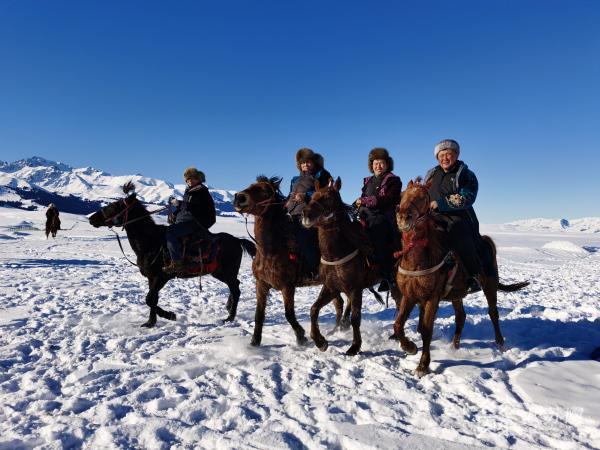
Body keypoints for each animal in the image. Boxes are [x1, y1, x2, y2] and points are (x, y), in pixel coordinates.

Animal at [89, 182, 255, 326]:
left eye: (114, 206)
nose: (91, 219)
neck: (150, 241)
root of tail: (237, 240)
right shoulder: (151, 277)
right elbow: (153, 299)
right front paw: (150, 322)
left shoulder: (161, 277)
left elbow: (149, 299)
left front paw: (169, 315)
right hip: (219, 273)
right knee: (235, 286)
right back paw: (228, 307)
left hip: (226, 272)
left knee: (236, 289)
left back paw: (229, 317)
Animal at [233, 175, 350, 344]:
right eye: (251, 185)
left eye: (265, 191)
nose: (239, 198)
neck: (271, 252)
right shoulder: (261, 285)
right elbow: (259, 315)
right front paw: (254, 342)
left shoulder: (287, 287)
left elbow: (289, 314)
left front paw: (301, 337)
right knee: (339, 303)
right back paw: (334, 330)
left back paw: (344, 325)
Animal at [300, 177, 404, 356]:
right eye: (313, 196)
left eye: (328, 197)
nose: (306, 214)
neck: (337, 253)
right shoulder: (331, 287)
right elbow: (314, 309)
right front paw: (320, 341)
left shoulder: (355, 289)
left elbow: (356, 318)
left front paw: (355, 346)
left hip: (395, 282)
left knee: (399, 302)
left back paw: (396, 335)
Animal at [394, 178, 528, 378]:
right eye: (402, 195)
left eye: (423, 197)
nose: (403, 217)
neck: (418, 260)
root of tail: (485, 241)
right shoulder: (409, 295)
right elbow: (398, 324)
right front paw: (409, 347)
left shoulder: (432, 298)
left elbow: (426, 329)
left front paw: (423, 365)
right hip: (456, 294)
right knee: (461, 316)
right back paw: (454, 347)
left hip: (489, 286)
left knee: (493, 313)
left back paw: (500, 344)